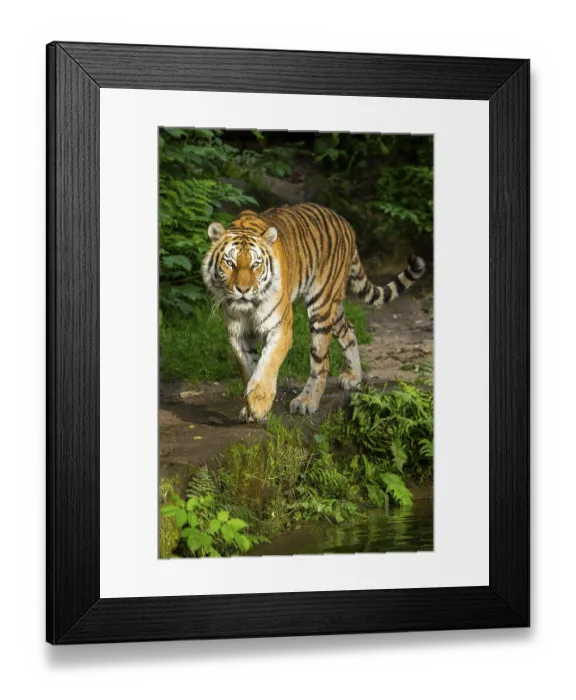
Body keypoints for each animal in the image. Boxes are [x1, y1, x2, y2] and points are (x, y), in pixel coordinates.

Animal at [202, 203, 426, 423]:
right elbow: (249, 368)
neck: (248, 308)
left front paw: (258, 404)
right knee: (349, 330)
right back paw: (353, 376)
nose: (243, 290)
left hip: (321, 306)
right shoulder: (237, 334)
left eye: (256, 264)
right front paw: (250, 409)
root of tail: (345, 223)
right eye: (229, 263)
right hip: (334, 308)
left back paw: (307, 401)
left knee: (321, 362)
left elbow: (267, 364)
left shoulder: (280, 327)